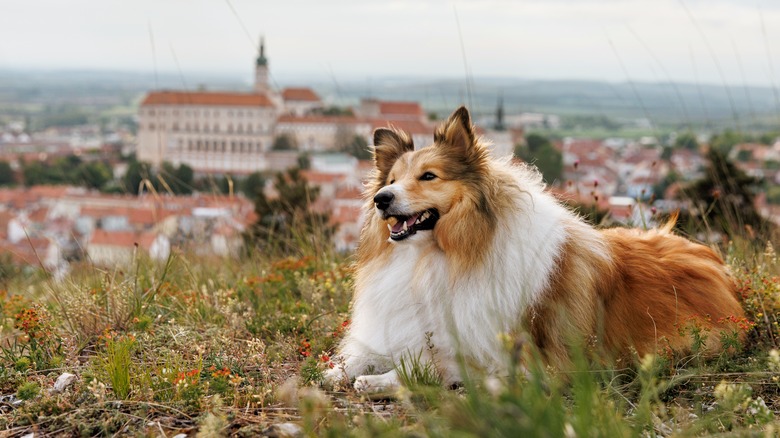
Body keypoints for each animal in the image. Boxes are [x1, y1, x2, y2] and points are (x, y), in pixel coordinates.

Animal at [322, 107, 744, 394]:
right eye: (391, 179)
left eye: (428, 176)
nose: (381, 198)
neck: (440, 256)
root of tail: (723, 274)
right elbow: (366, 353)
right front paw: (337, 370)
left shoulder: (522, 362)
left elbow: (435, 364)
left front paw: (381, 380)